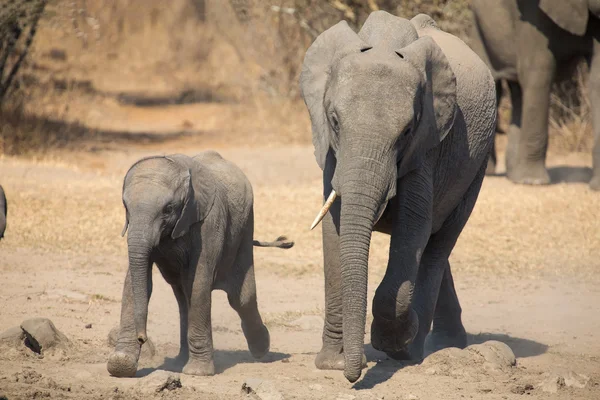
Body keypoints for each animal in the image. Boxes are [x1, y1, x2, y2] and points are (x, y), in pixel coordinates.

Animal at [108, 152, 296, 376]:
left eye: (168, 209)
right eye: (125, 207)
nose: (142, 337)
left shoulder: (210, 222)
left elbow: (199, 281)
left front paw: (198, 372)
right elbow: (136, 282)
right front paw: (121, 365)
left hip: (245, 228)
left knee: (240, 298)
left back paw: (262, 350)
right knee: (183, 297)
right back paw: (180, 361)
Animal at [298, 10, 494, 382]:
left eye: (406, 131)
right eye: (334, 121)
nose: (355, 373)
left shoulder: (426, 147)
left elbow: (413, 226)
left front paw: (389, 343)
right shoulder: (331, 152)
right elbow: (334, 227)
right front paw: (332, 364)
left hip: (477, 167)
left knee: (438, 244)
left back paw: (413, 350)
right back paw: (446, 341)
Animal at [472, 0, 600, 189]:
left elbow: (597, 79)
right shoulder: (532, 12)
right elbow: (539, 71)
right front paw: (533, 182)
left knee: (517, 91)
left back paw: (513, 174)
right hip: (478, 28)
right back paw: (491, 173)